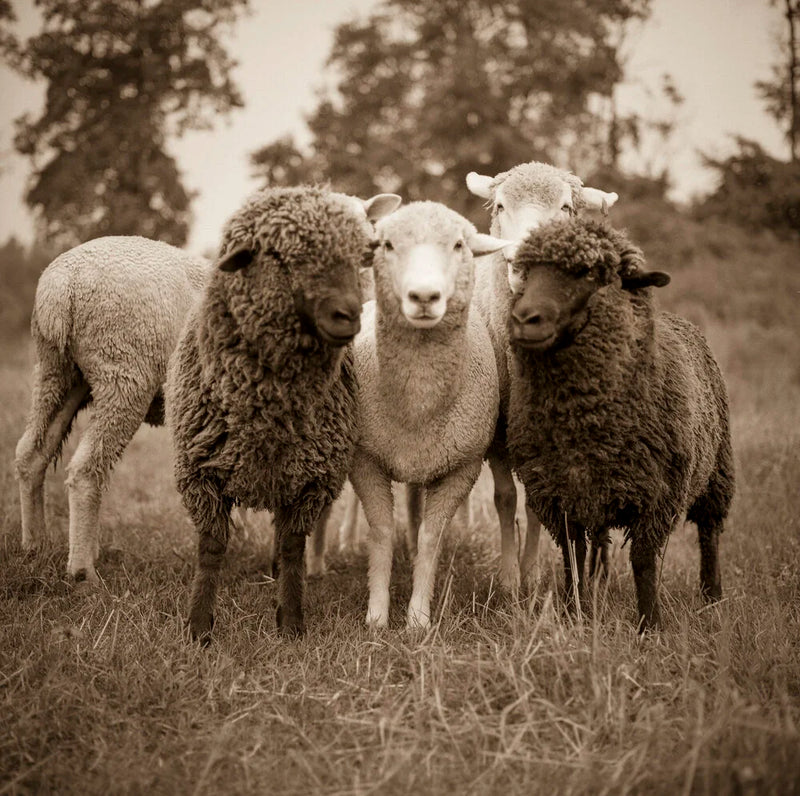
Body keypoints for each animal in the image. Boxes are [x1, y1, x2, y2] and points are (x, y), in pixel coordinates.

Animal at [166, 185, 401, 641]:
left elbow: (293, 545)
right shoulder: (201, 472)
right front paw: (199, 626)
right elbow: (211, 547)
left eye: (362, 254)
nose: (349, 315)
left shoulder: (310, 477)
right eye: (278, 255)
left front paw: (290, 621)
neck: (268, 406)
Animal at [348, 201, 512, 629]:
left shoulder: (462, 468)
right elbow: (381, 531)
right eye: (387, 245)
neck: (418, 405)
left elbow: (430, 538)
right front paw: (377, 616)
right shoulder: (365, 459)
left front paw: (418, 617)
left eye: (458, 245)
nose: (424, 295)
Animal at [465, 161, 619, 591]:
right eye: (500, 206)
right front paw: (507, 580)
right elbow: (505, 500)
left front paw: (531, 576)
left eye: (566, 208)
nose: (523, 263)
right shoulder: (497, 433)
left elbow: (537, 504)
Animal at [505, 217, 734, 631]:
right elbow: (574, 558)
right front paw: (574, 614)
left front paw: (650, 625)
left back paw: (712, 597)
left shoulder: (657, 495)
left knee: (710, 533)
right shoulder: (560, 495)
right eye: (526, 272)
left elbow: (643, 561)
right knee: (599, 544)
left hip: (717, 472)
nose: (523, 319)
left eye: (590, 272)